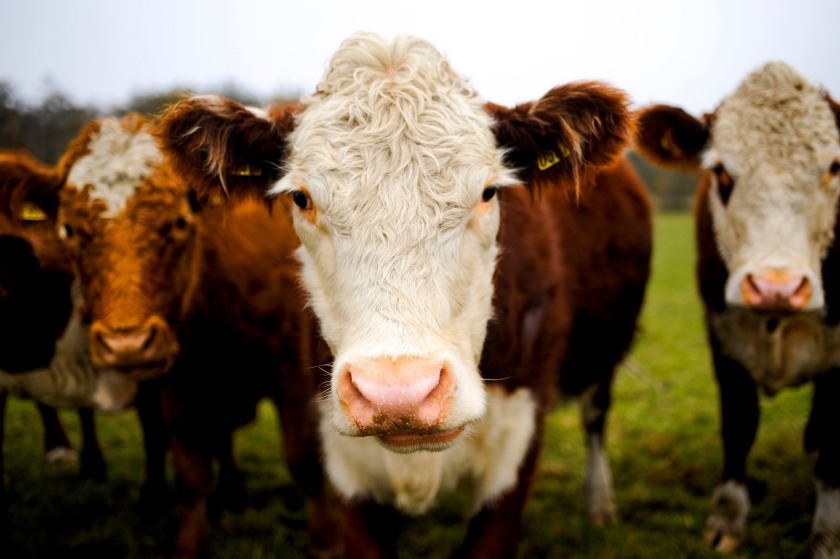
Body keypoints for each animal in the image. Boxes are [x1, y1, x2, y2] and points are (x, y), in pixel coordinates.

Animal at [54, 112, 338, 558]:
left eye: (179, 223)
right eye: (68, 230)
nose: (126, 345)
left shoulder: (292, 366)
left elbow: (304, 458)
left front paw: (325, 539)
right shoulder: (176, 378)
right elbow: (188, 464)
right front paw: (190, 540)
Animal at [156, 32, 652, 557]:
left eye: (489, 192)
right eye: (301, 198)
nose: (398, 396)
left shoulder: (516, 450)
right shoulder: (344, 468)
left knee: (596, 415)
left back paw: (600, 504)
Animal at [635, 62, 840, 558]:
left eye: (834, 167)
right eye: (721, 172)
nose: (775, 288)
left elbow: (829, 445)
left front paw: (827, 537)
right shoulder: (723, 339)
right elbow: (739, 424)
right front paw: (726, 519)